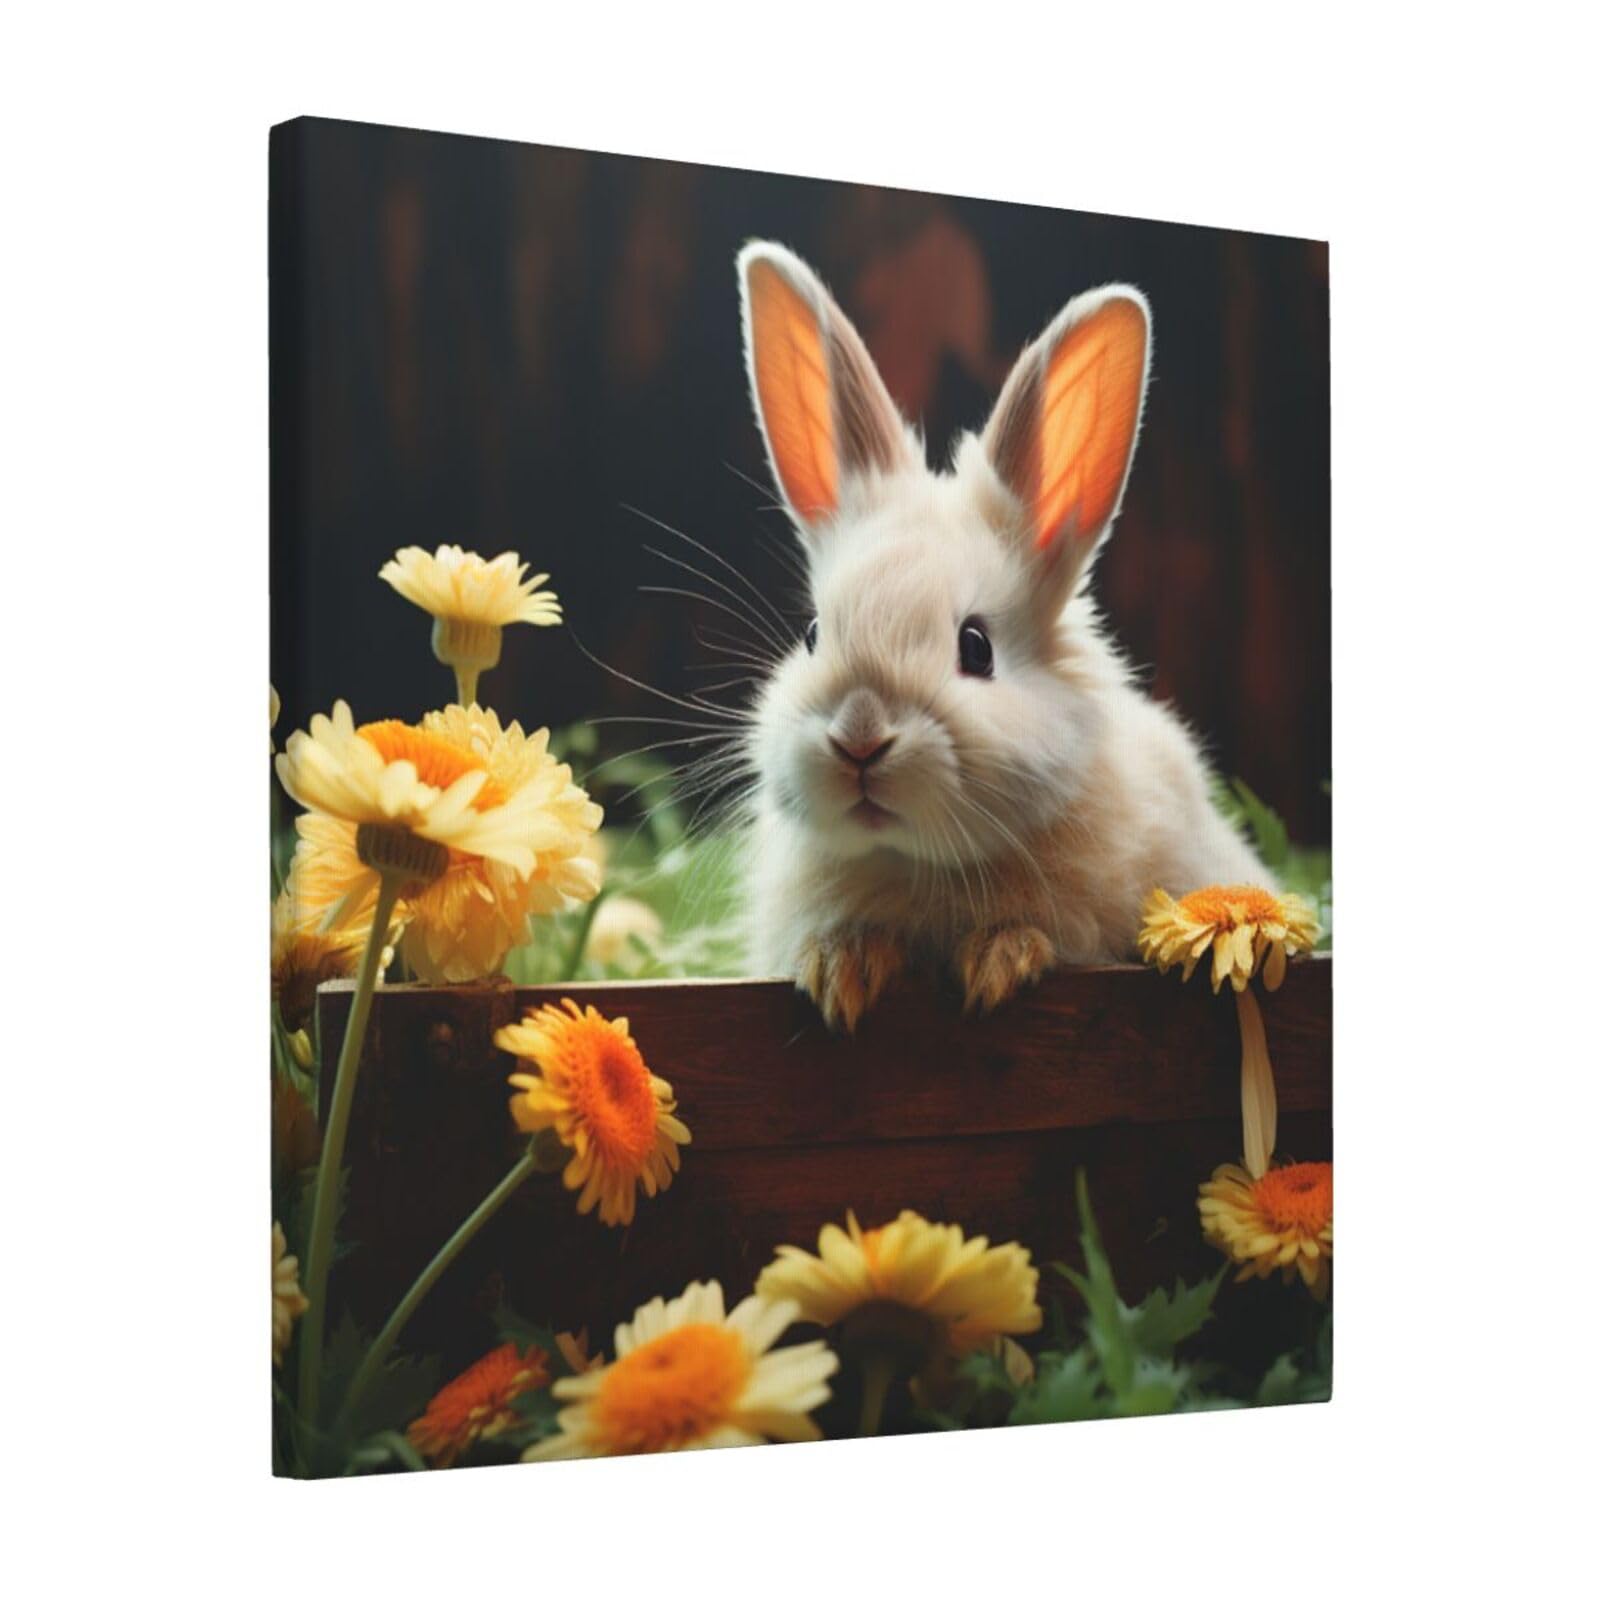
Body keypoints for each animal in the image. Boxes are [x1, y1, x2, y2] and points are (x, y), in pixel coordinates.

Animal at [733, 241, 1267, 1030]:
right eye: (812, 634)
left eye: (976, 647)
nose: (859, 738)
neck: (918, 862)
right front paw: (838, 972)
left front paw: (998, 961)